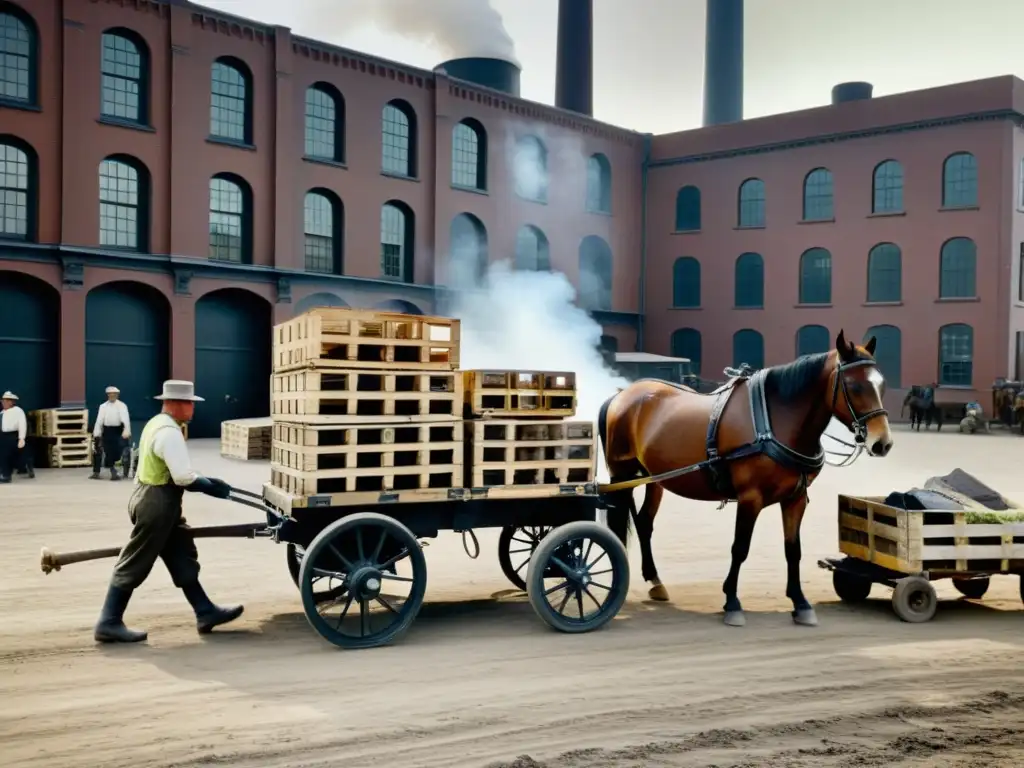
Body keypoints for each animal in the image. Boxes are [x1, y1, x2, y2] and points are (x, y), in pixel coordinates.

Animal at [598, 331, 892, 630]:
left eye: (881, 384)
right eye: (854, 386)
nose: (882, 442)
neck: (775, 422)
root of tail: (622, 394)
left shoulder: (796, 498)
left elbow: (793, 550)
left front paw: (800, 602)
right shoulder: (750, 498)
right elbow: (740, 548)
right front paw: (732, 601)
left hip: (654, 478)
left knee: (644, 523)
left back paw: (655, 581)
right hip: (621, 474)